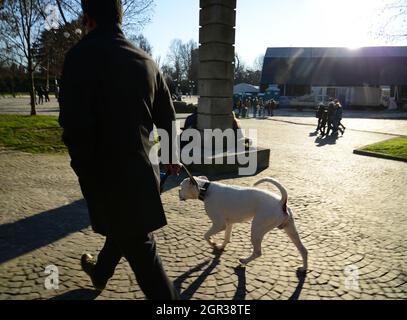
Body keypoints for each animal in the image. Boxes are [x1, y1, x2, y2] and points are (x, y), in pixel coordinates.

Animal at [179, 176, 310, 272]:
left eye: (181, 187)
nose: (178, 192)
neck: (205, 189)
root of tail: (281, 201)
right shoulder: (228, 224)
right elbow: (226, 237)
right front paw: (220, 247)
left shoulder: (219, 224)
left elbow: (206, 236)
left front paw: (213, 243)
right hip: (290, 230)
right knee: (303, 250)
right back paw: (303, 268)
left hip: (256, 230)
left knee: (257, 252)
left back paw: (244, 261)